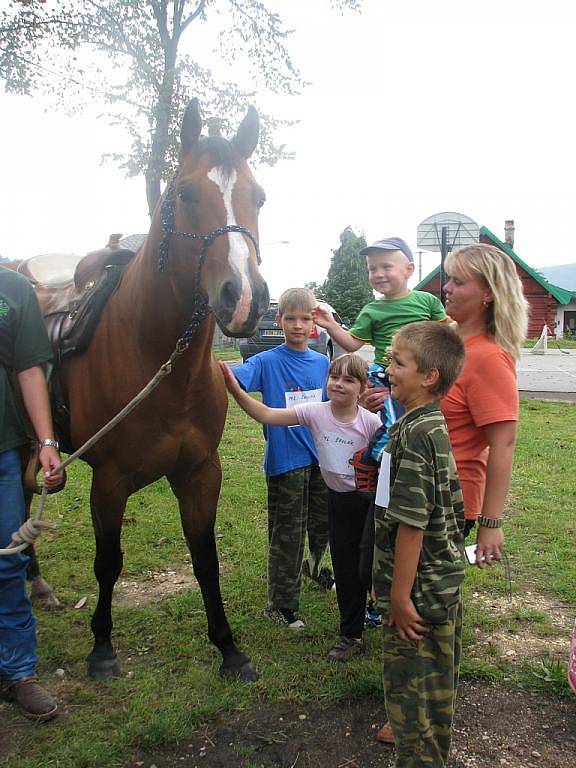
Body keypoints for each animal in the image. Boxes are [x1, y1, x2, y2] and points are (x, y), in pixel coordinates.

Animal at [46, 100, 268, 680]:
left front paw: (229, 648)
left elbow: (205, 558)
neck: (161, 364)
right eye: (183, 195)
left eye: (258, 196)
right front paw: (102, 647)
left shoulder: (199, 472)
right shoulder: (109, 481)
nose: (244, 299)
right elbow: (108, 562)